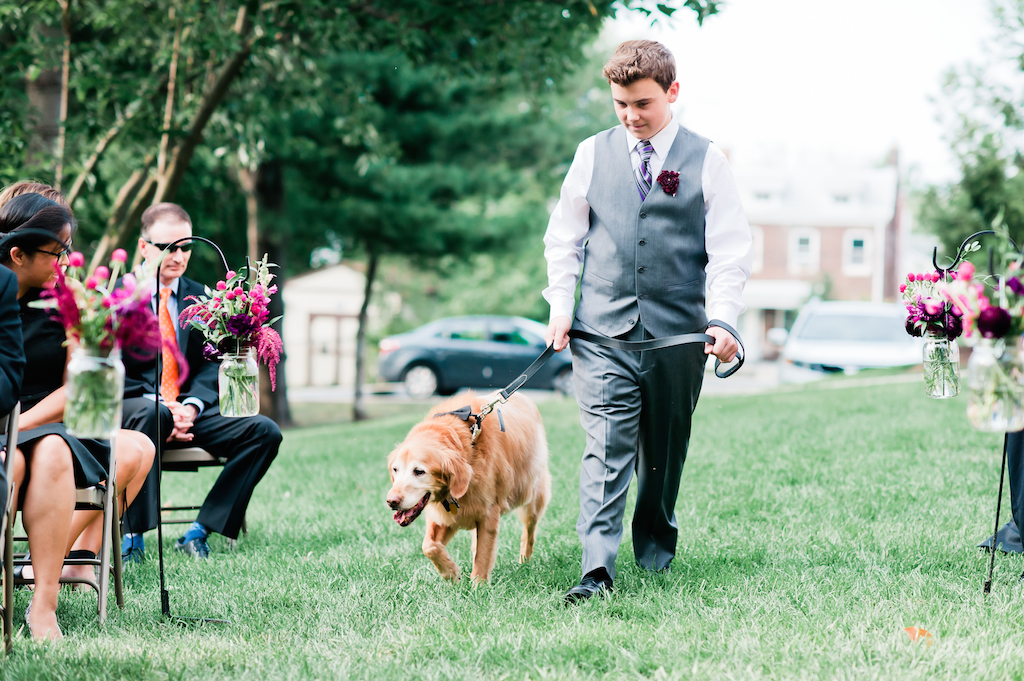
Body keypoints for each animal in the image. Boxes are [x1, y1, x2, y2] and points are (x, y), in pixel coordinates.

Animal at [385, 391, 548, 581]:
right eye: (395, 469)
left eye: (419, 471)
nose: (391, 501)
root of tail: (524, 395)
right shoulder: (444, 516)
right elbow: (429, 547)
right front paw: (452, 574)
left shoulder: (488, 513)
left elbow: (482, 556)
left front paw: (478, 585)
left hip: (533, 497)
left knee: (529, 532)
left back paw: (525, 562)